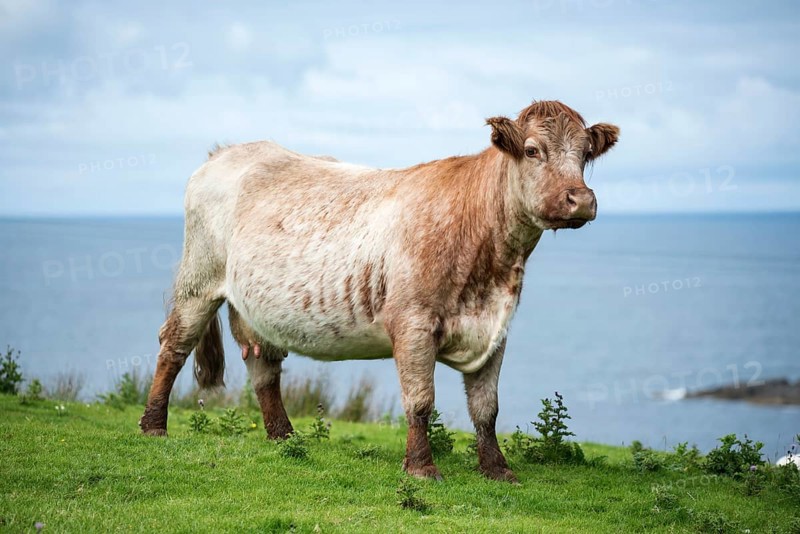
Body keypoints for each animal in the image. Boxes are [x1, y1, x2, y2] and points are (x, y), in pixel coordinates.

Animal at [140, 100, 620, 482]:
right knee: (174, 345)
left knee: (263, 366)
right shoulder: (412, 322)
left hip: (255, 306)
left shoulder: (495, 328)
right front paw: (422, 468)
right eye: (533, 150)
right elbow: (421, 401)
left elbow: (487, 408)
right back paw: (153, 425)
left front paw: (498, 470)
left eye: (584, 154)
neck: (491, 266)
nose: (580, 199)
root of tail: (226, 151)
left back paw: (284, 438)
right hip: (199, 281)